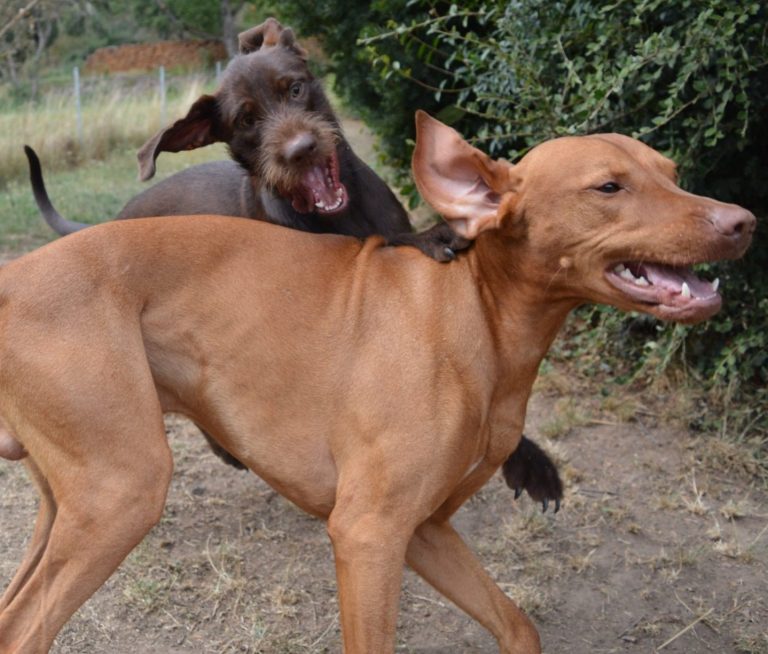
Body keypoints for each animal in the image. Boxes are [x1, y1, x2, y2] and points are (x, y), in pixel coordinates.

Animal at [0, 115, 756, 652]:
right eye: (608, 187)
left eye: (672, 173)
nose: (744, 222)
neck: (475, 317)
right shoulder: (366, 536)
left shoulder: (423, 532)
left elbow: (518, 625)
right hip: (124, 493)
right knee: (25, 630)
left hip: (66, 511)